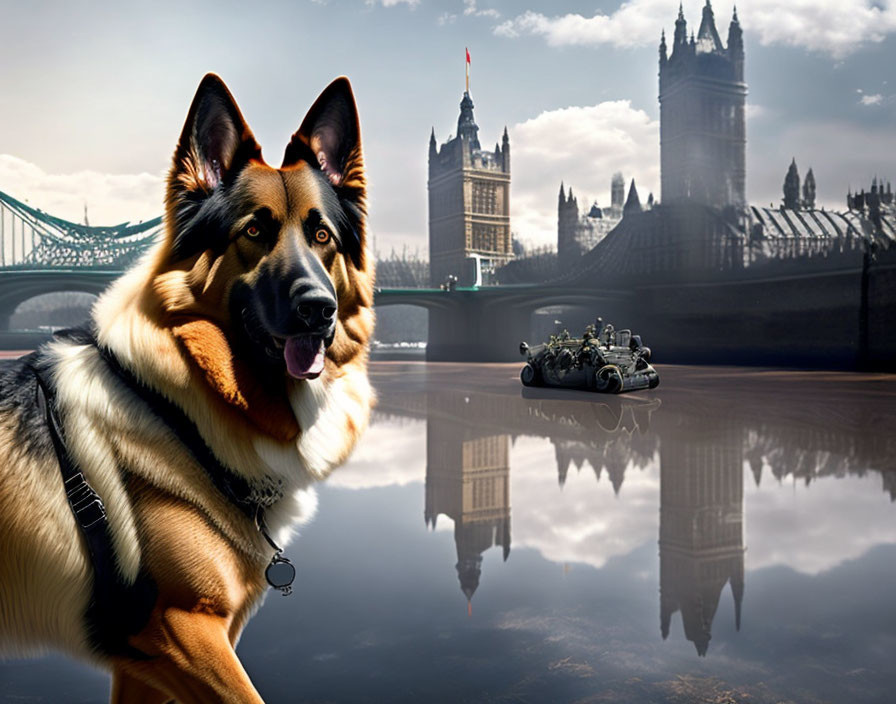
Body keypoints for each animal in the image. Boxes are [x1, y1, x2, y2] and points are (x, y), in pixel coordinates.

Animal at [0, 74, 374, 700]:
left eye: (322, 234)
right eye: (254, 230)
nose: (318, 309)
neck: (179, 410)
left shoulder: (146, 666)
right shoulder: (183, 633)